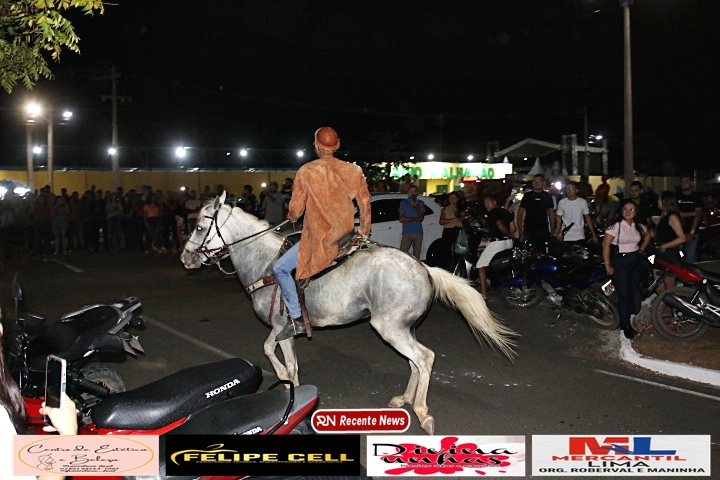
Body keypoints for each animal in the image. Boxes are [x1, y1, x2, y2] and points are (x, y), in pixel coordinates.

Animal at [180, 192, 516, 434]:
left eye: (199, 227)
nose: (186, 258)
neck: (265, 265)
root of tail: (423, 266)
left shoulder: (280, 327)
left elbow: (273, 355)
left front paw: (283, 383)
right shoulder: (286, 332)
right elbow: (290, 365)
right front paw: (293, 395)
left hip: (389, 328)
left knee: (424, 358)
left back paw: (422, 412)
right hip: (403, 328)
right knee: (415, 362)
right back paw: (404, 399)